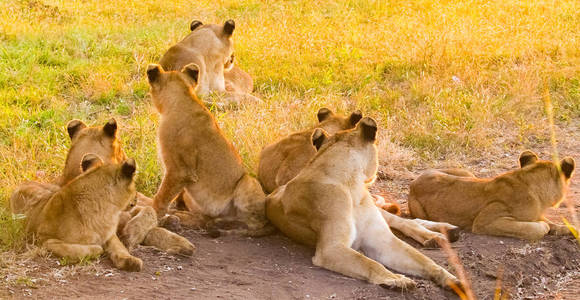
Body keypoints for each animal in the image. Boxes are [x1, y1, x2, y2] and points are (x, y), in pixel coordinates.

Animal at [15, 155, 143, 272]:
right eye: (134, 187)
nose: (137, 198)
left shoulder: (109, 233)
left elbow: (118, 246)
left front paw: (130, 260)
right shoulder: (45, 239)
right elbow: (85, 249)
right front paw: (97, 247)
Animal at [147, 63, 270, 237]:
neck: (183, 98)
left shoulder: (179, 171)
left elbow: (161, 197)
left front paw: (152, 217)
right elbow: (174, 195)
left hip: (247, 182)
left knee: (255, 225)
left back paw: (222, 226)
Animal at [266, 118, 460, 290]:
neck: (352, 185)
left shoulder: (382, 240)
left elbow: (423, 260)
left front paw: (452, 279)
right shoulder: (331, 248)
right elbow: (369, 263)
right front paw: (396, 279)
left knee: (406, 222)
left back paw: (438, 235)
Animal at [408, 151, 576, 240]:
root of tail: (414, 181)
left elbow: (552, 223)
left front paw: (568, 229)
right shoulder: (485, 221)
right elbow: (535, 227)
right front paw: (544, 227)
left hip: (467, 173)